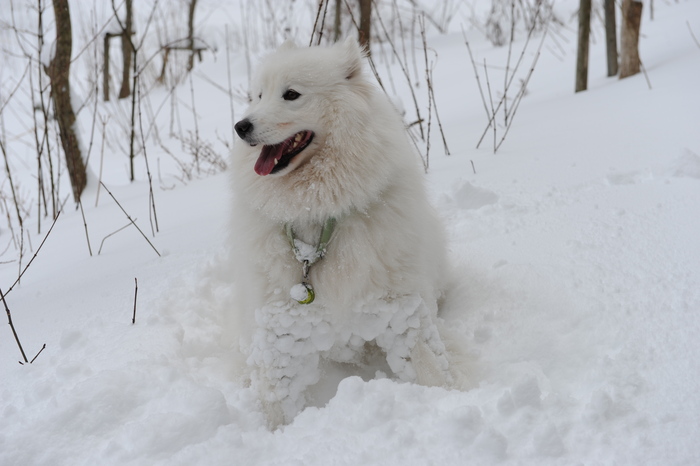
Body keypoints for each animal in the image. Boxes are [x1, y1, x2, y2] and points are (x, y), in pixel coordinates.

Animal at [227, 38, 452, 428]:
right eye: (257, 96)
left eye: (291, 94)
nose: (241, 126)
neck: (317, 214)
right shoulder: (278, 330)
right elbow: (274, 401)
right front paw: (275, 432)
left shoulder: (403, 310)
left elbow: (431, 368)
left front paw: (453, 399)